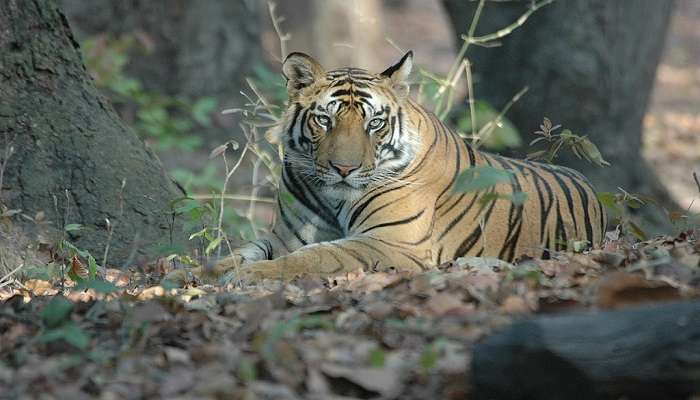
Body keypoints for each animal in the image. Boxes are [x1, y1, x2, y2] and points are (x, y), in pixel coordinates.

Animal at [187, 51, 608, 282]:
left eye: (374, 123)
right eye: (324, 120)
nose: (343, 169)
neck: (334, 197)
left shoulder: (391, 242)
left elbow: (318, 256)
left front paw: (248, 277)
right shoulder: (287, 237)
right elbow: (236, 253)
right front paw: (189, 275)